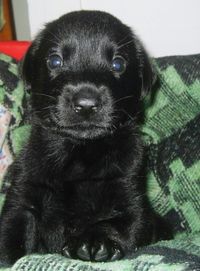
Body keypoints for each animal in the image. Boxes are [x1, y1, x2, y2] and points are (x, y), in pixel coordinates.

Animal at [0, 10, 164, 264]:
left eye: (118, 63)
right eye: (55, 61)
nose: (86, 104)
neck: (79, 152)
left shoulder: (132, 200)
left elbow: (119, 222)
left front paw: (94, 240)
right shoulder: (23, 194)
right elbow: (11, 237)